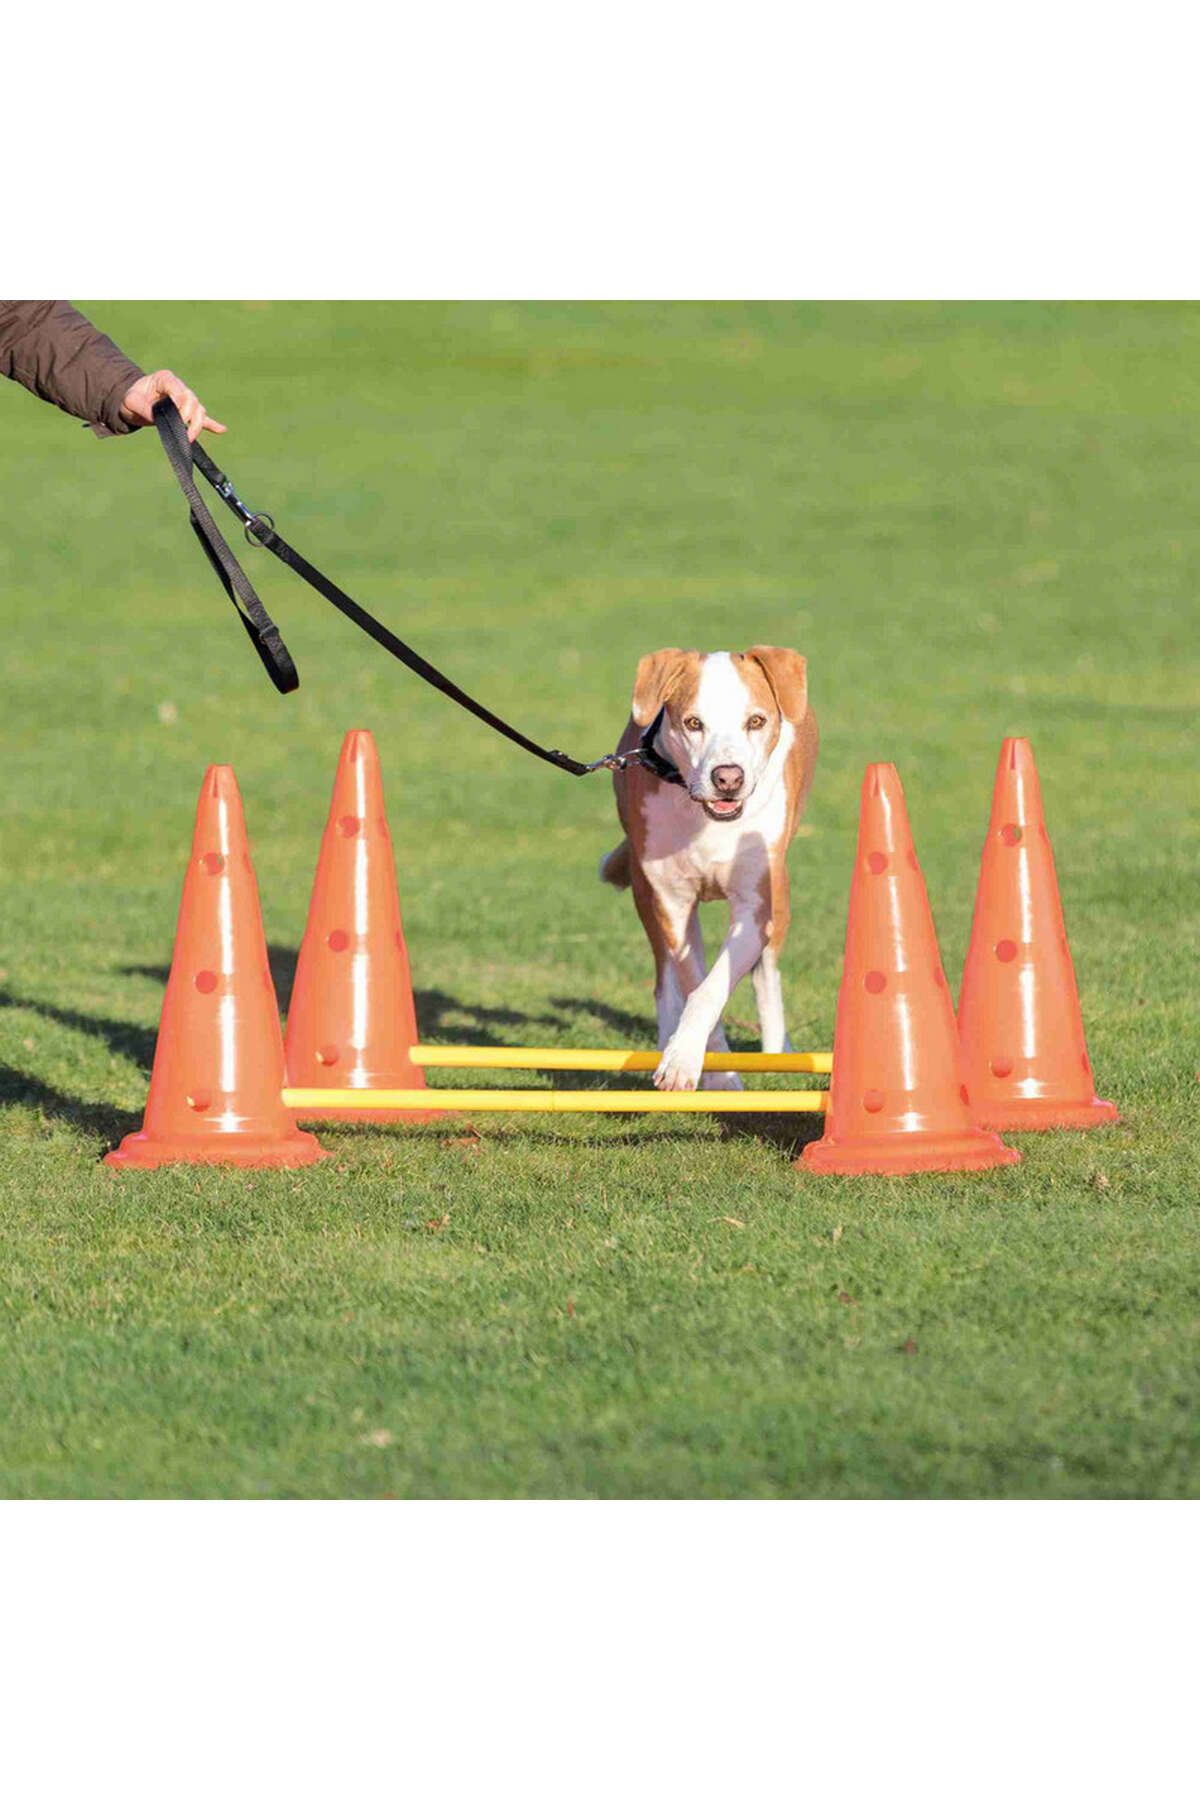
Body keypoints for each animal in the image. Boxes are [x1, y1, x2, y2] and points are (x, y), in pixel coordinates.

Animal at [597, 651, 816, 1094]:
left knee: (767, 973)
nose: (728, 777)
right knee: (665, 977)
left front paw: (693, 1062)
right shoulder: (673, 901)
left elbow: (713, 987)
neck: (706, 819)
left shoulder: (755, 906)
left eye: (756, 721)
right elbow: (693, 981)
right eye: (693, 723)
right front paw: (709, 1072)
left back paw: (777, 1052)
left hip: (779, 895)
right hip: (646, 894)